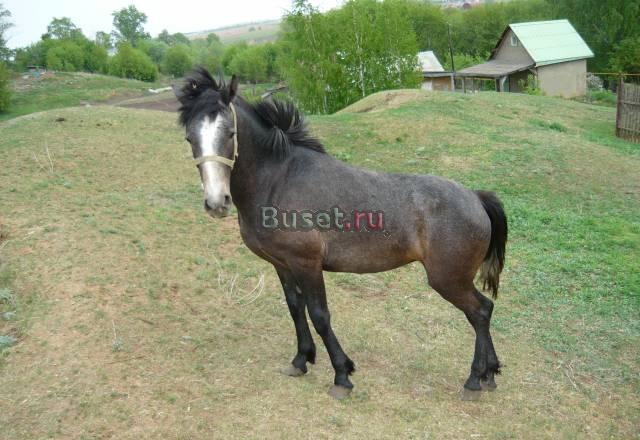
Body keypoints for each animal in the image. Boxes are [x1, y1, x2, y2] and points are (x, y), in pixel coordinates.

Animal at [173, 67, 507, 401]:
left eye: (230, 133)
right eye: (190, 138)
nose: (216, 203)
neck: (278, 180)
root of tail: (476, 197)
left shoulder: (307, 264)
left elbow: (320, 315)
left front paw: (342, 375)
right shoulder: (282, 264)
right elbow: (295, 309)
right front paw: (301, 360)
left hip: (448, 279)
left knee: (479, 312)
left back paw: (474, 380)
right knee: (485, 310)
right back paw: (490, 373)